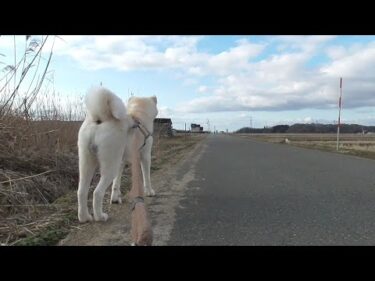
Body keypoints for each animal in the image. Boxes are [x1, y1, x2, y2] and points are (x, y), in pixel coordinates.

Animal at [77, 86, 158, 222]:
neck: (138, 115)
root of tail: (100, 119)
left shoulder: (121, 161)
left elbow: (116, 183)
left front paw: (115, 198)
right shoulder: (145, 156)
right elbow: (146, 177)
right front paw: (149, 192)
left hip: (87, 163)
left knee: (81, 191)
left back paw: (84, 217)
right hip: (110, 166)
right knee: (97, 193)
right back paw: (100, 216)